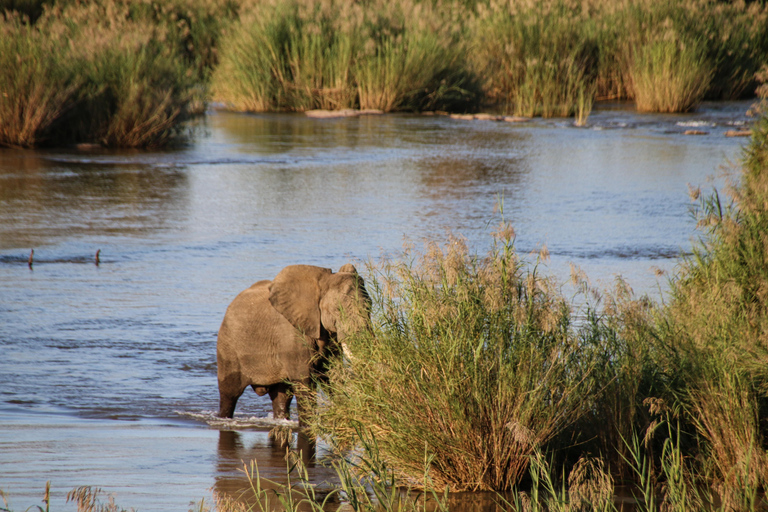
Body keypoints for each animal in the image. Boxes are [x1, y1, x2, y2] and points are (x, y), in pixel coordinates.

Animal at [216, 262, 372, 422]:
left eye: (370, 307)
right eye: (337, 310)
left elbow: (333, 375)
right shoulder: (292, 334)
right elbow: (304, 380)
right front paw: (309, 424)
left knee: (281, 395)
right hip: (228, 347)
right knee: (229, 394)